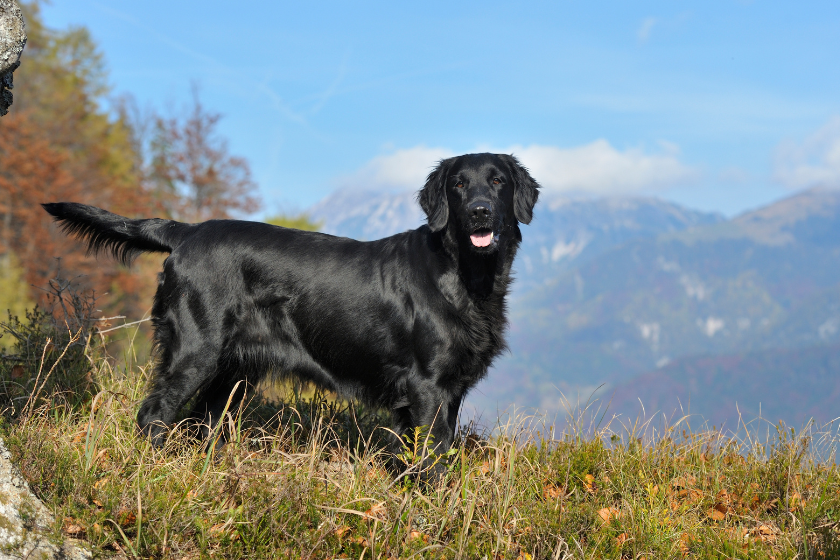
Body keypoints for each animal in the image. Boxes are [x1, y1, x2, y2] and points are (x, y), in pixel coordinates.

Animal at [42, 151, 540, 466]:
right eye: (458, 184)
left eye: (497, 181)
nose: (480, 211)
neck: (465, 275)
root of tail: (187, 232)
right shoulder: (428, 387)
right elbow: (431, 462)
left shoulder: (450, 390)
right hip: (195, 352)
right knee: (153, 415)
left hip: (232, 372)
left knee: (202, 421)